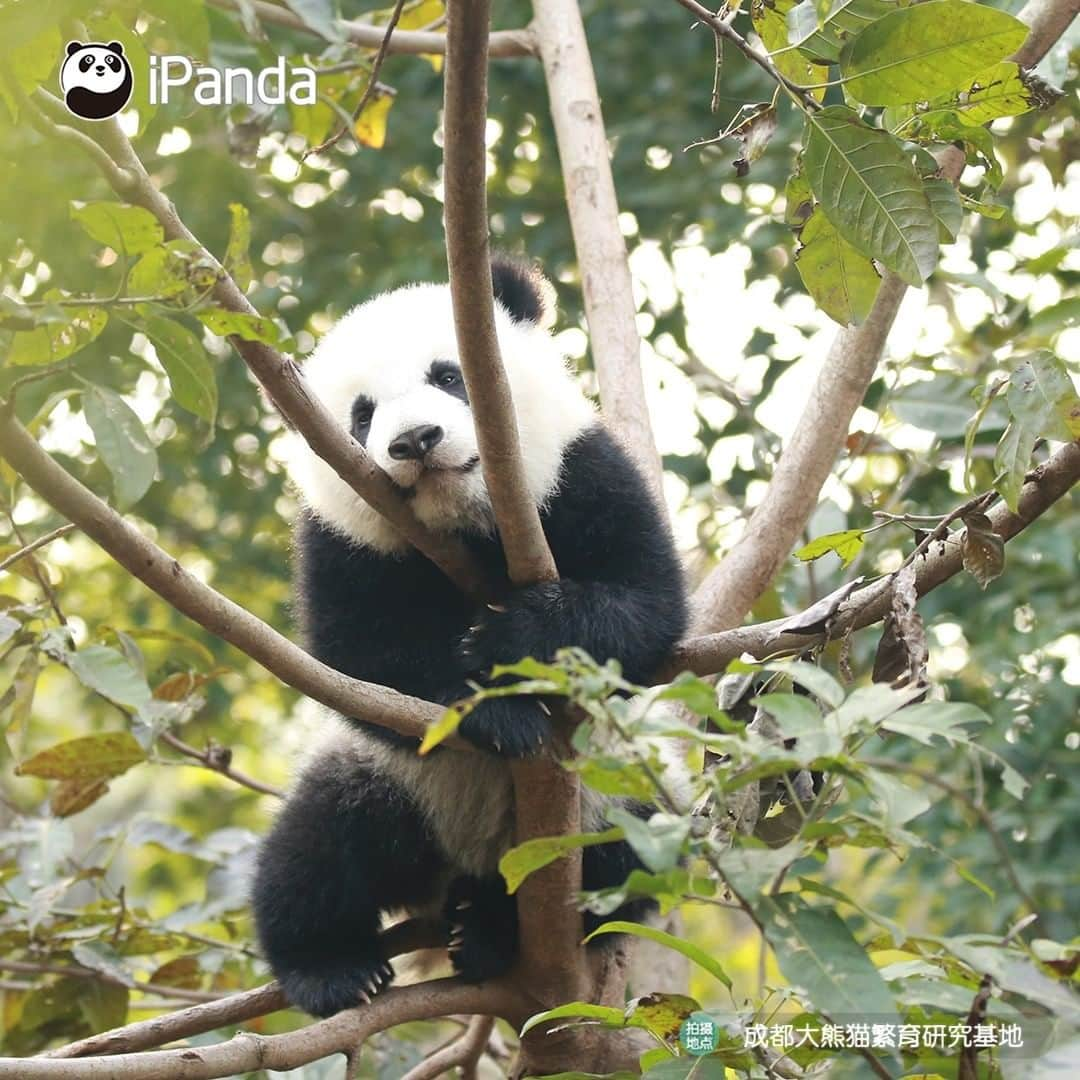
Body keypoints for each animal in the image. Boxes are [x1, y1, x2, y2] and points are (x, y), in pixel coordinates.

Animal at [253, 257, 686, 1015]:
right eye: (361, 415)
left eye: (450, 376)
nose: (415, 442)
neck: (467, 523)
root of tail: (455, 868)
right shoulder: (341, 537)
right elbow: (364, 660)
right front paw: (498, 713)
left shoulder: (581, 467)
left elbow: (646, 603)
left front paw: (514, 637)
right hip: (390, 787)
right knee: (317, 850)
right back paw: (334, 967)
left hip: (622, 800)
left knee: (620, 864)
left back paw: (487, 929)